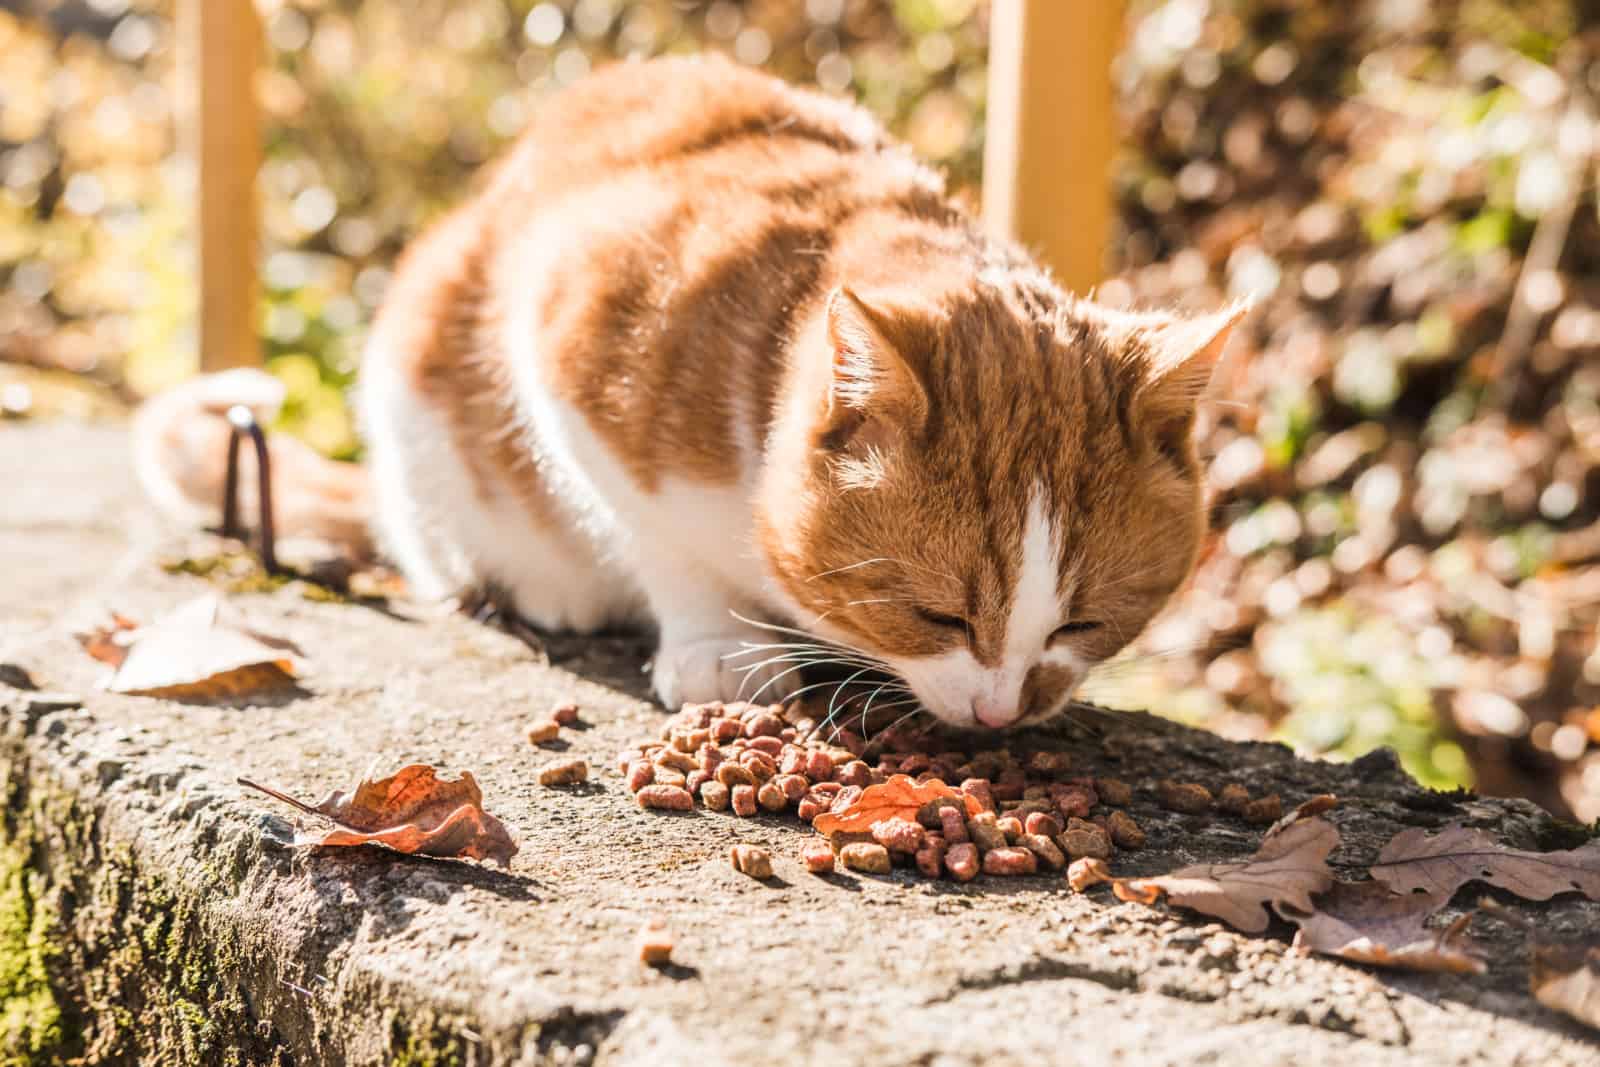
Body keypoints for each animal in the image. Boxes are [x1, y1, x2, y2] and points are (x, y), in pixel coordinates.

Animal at [137, 54, 1241, 729]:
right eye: (934, 616)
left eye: (1083, 623)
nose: (1002, 710)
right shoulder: (570, 337)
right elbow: (661, 540)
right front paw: (716, 643)